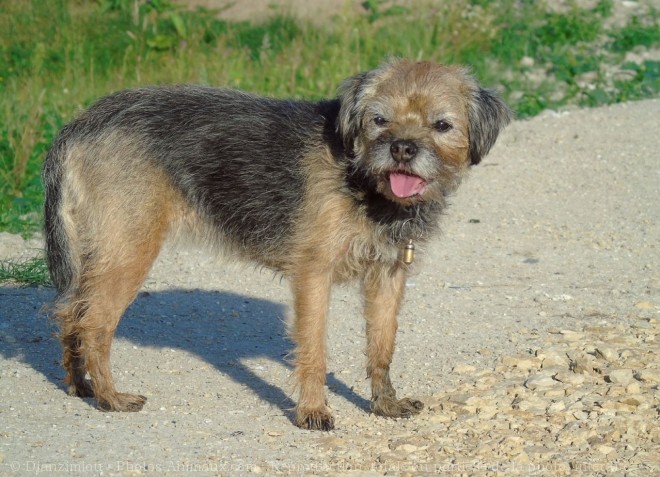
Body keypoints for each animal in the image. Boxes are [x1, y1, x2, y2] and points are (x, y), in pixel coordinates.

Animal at [43, 57, 512, 430]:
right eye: (379, 119)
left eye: (442, 125)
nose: (401, 148)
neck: (361, 179)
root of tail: (79, 125)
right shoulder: (313, 276)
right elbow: (314, 350)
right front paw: (313, 411)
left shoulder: (388, 275)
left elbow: (382, 346)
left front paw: (385, 404)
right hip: (128, 251)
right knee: (93, 324)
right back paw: (110, 397)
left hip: (98, 252)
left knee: (69, 313)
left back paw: (79, 386)